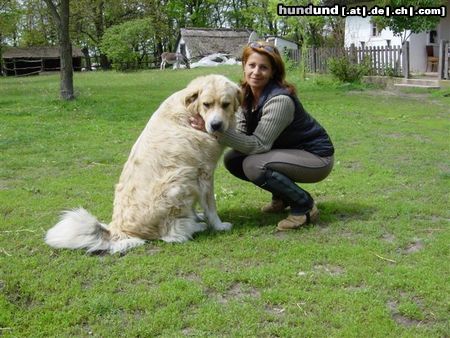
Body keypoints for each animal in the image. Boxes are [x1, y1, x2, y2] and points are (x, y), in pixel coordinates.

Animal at [44, 74, 243, 254]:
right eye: (206, 104)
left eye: (225, 104)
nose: (216, 125)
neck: (189, 112)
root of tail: (118, 231)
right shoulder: (203, 174)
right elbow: (211, 207)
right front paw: (218, 225)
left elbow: (196, 206)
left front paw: (197, 216)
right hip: (179, 181)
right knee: (170, 235)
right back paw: (195, 228)